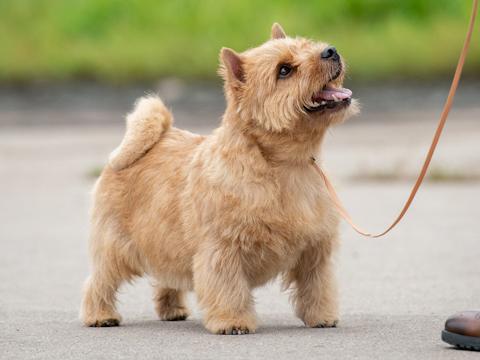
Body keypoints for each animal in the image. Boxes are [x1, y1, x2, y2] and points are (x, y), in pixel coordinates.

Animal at [79, 23, 356, 334]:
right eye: (284, 70)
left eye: (308, 45)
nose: (330, 50)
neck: (288, 166)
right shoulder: (223, 250)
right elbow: (229, 289)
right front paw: (232, 322)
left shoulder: (315, 251)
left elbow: (317, 286)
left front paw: (321, 317)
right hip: (116, 247)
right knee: (99, 281)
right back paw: (100, 315)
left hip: (166, 247)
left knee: (166, 278)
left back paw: (172, 310)